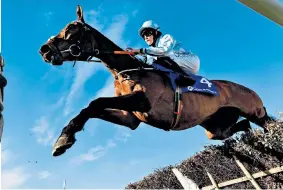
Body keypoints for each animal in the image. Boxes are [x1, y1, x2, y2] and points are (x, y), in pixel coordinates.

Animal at [38, 5, 276, 157]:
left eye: (71, 29)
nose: (44, 50)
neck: (125, 70)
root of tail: (248, 89)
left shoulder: (144, 101)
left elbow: (95, 102)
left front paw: (63, 140)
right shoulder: (131, 118)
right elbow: (92, 108)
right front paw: (64, 138)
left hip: (255, 112)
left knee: (267, 124)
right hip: (214, 128)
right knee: (239, 127)